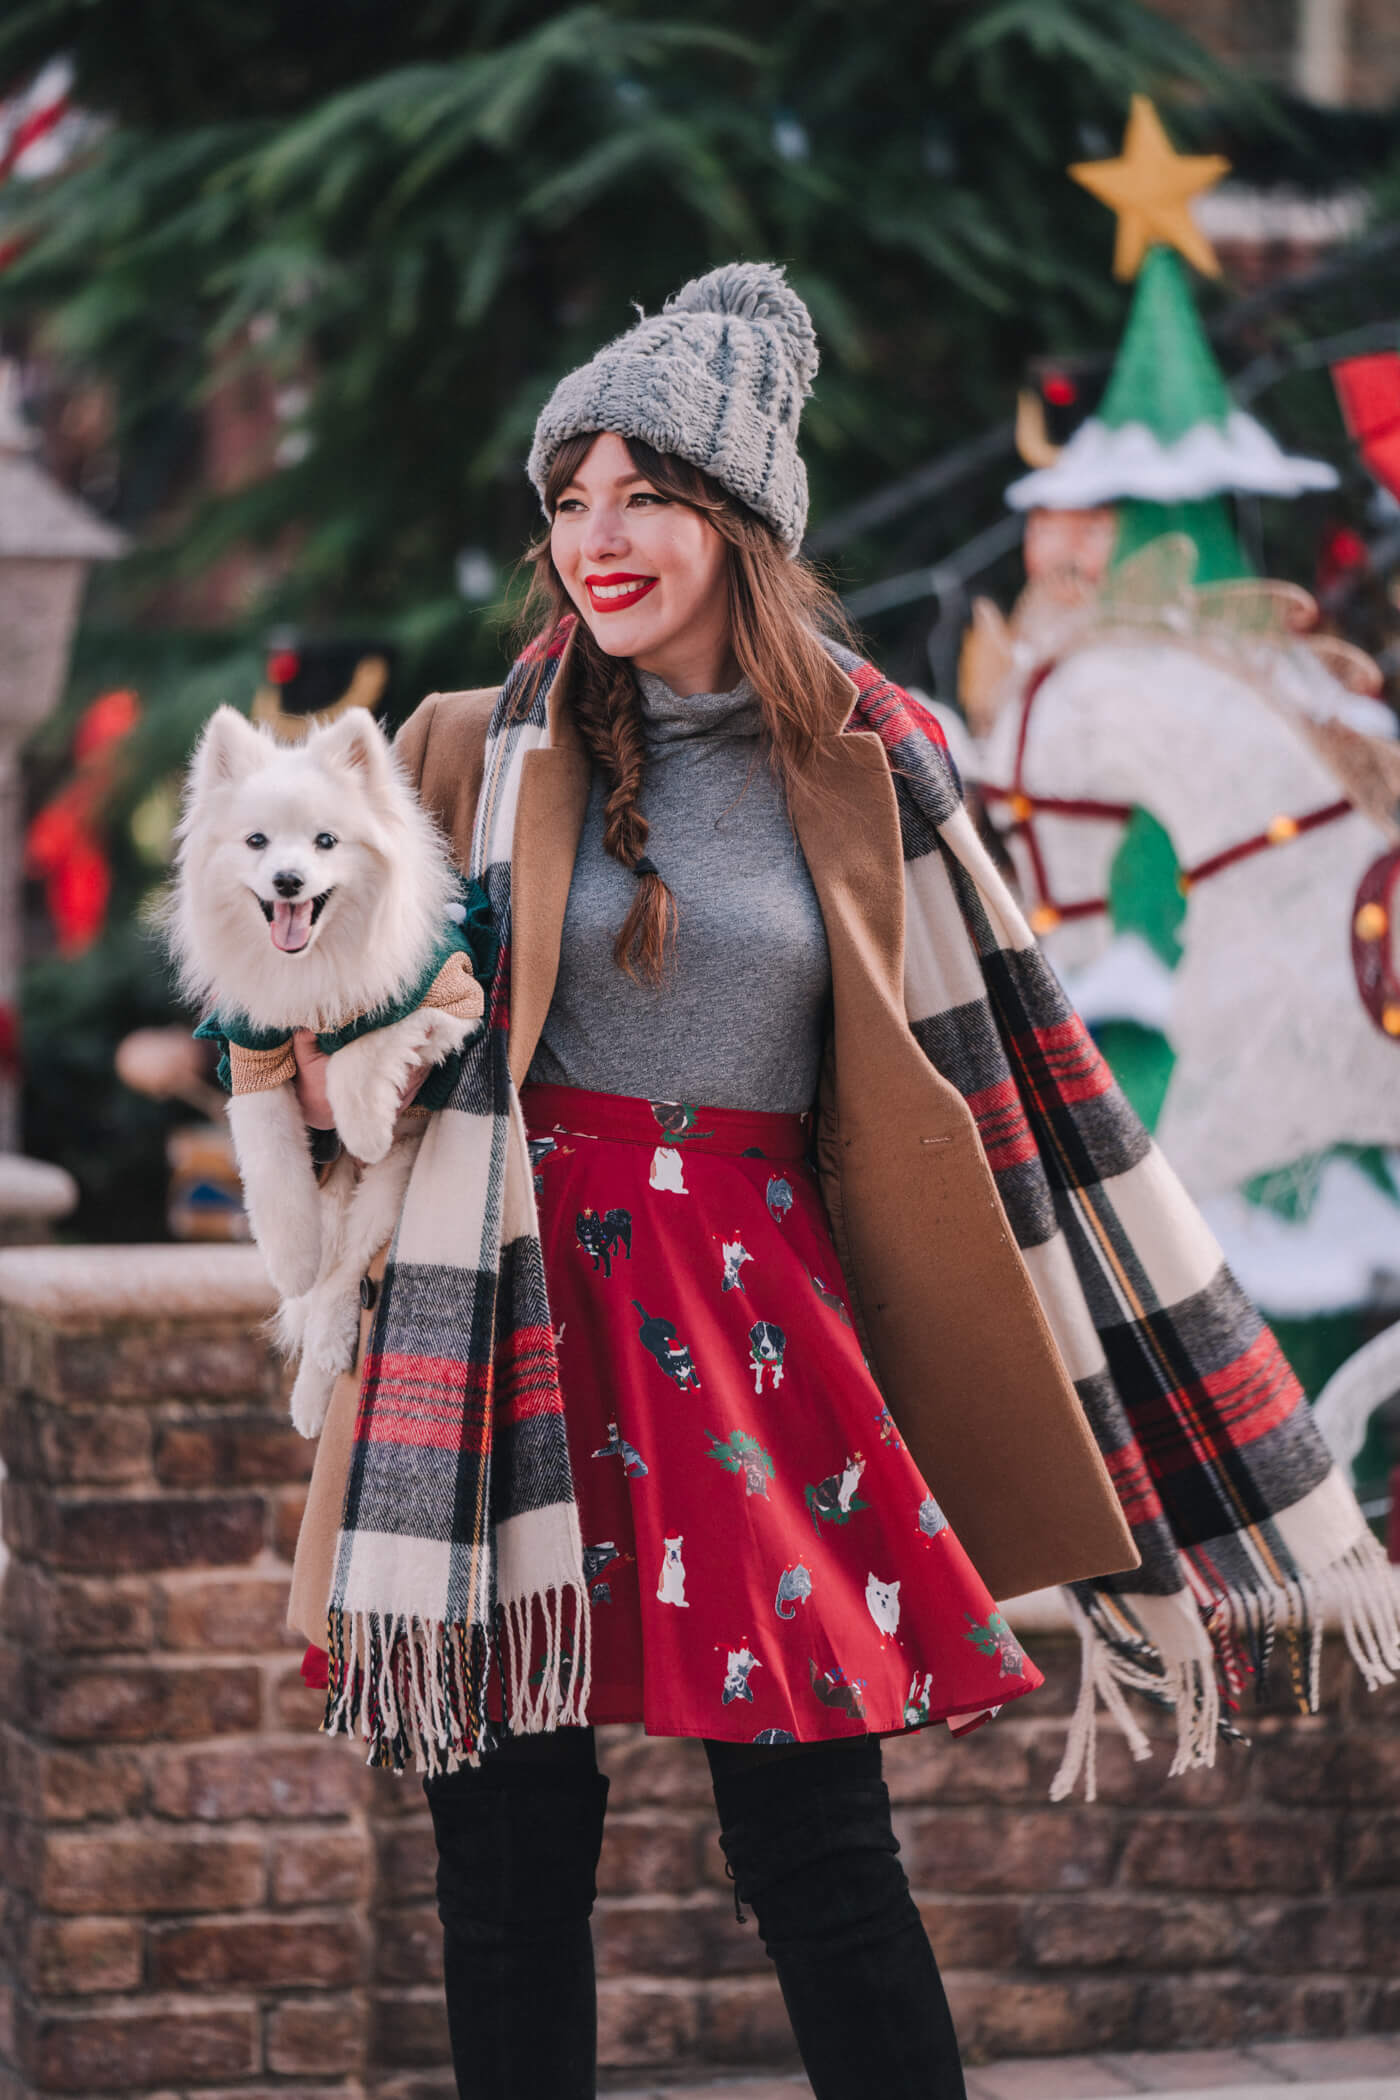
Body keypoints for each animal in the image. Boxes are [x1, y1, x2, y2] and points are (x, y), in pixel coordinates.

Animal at [161, 705, 482, 1444]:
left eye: (326, 841)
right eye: (256, 842)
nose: (287, 880)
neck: (311, 965)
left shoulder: (451, 998)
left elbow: (361, 1051)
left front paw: (365, 1124)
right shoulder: (250, 1055)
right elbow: (272, 1170)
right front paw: (289, 1258)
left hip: (393, 1184)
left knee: (345, 1280)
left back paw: (318, 1379)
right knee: (328, 1272)